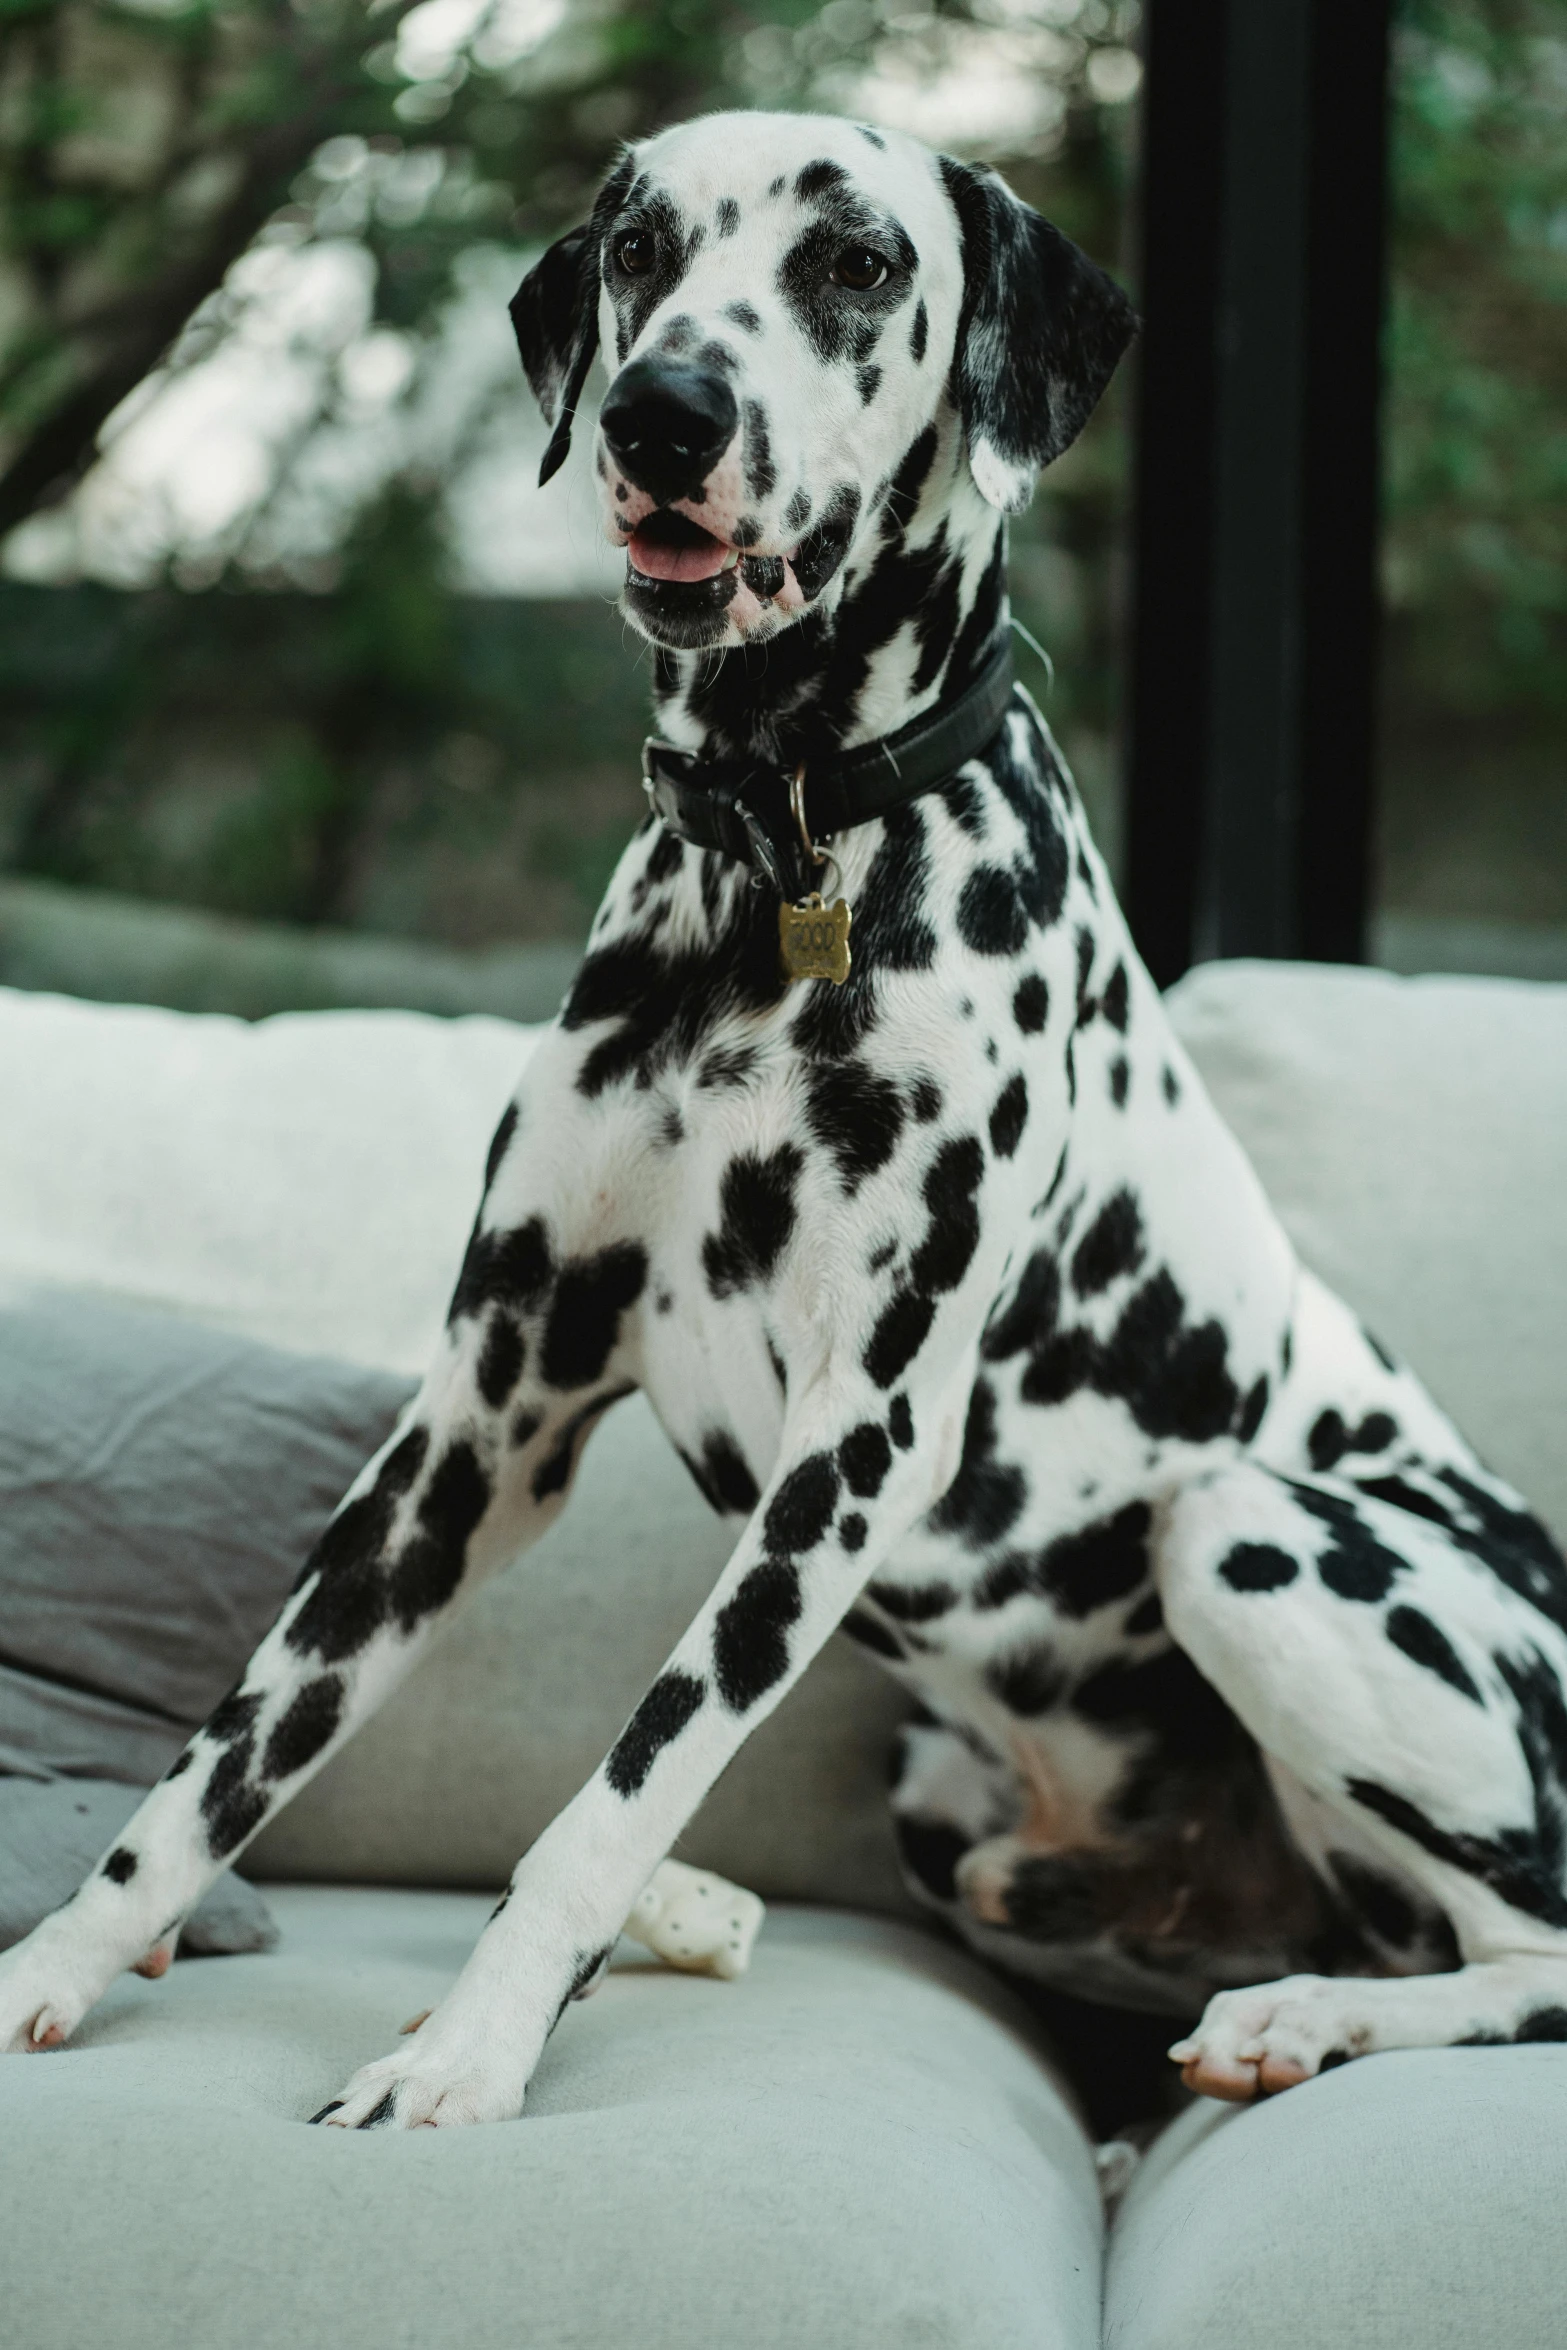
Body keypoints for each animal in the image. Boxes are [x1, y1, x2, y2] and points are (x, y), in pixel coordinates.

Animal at [3, 110, 1567, 2133]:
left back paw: (1298, 2019)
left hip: (1245, 1534)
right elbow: (216, 1766)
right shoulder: (470, 1436)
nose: (660, 411)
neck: (782, 855)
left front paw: (470, 2052)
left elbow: (619, 1786)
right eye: (636, 248)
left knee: (1528, 1949)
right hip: (953, 1808)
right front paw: (56, 1971)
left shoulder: (856, 1448)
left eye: (857, 263)